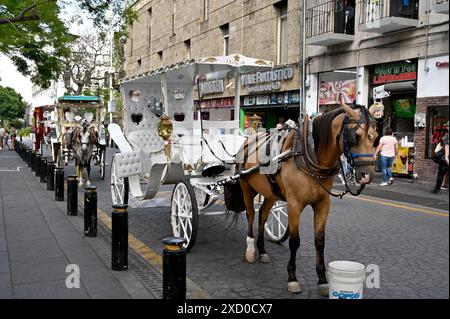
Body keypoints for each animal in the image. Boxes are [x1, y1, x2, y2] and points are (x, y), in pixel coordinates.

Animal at [236, 101, 380, 296]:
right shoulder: (294, 204)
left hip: (270, 193)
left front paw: (322, 280)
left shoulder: (323, 203)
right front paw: (292, 278)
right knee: (251, 215)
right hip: (246, 186)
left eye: (375, 137)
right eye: (354, 137)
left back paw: (263, 251)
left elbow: (320, 241)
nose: (366, 176)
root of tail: (249, 139)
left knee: (263, 215)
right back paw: (251, 250)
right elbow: (294, 241)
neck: (309, 154)